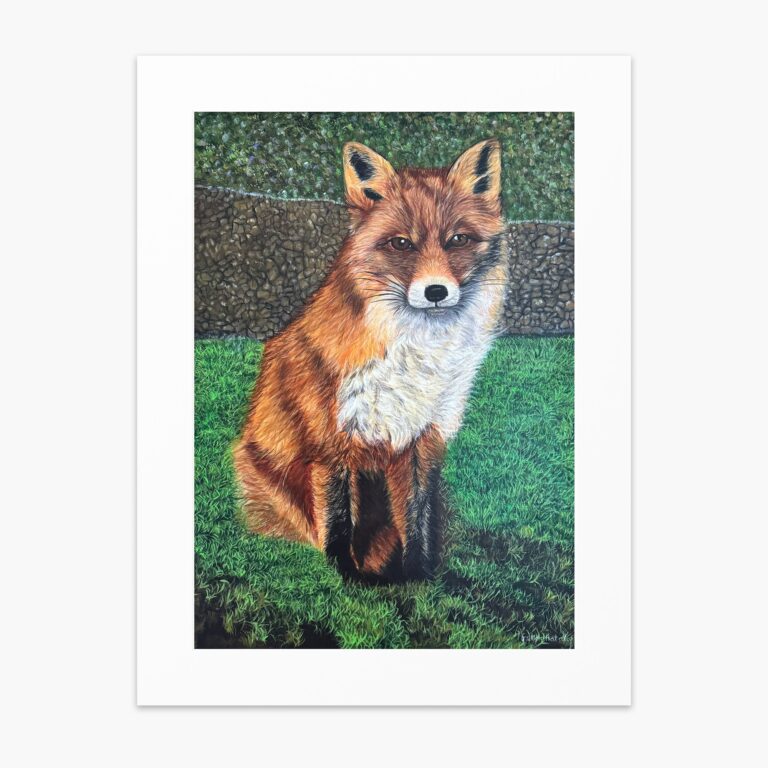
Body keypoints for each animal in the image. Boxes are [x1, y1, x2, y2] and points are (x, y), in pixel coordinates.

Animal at [233, 138, 508, 582]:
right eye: (401, 243)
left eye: (458, 239)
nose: (435, 292)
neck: (415, 358)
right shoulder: (331, 445)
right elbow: (338, 524)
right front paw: (345, 578)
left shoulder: (421, 442)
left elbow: (416, 518)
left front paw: (417, 578)